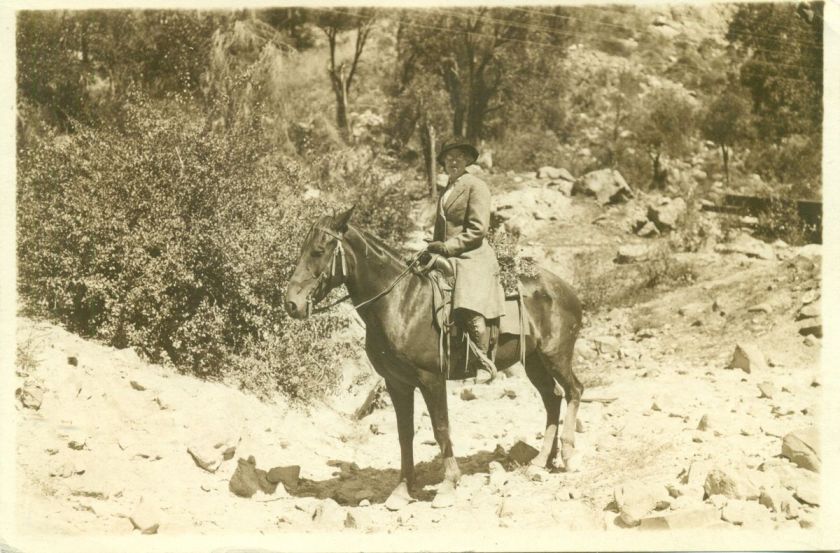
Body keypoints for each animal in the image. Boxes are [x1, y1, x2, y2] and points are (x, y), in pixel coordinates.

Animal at [286, 206, 580, 508]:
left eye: (318, 251)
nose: (291, 303)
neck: (401, 302)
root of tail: (565, 288)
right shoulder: (397, 383)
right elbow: (405, 434)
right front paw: (402, 489)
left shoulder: (431, 380)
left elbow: (441, 428)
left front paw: (449, 484)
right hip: (534, 361)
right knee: (553, 399)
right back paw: (540, 461)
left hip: (556, 355)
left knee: (574, 391)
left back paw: (567, 455)